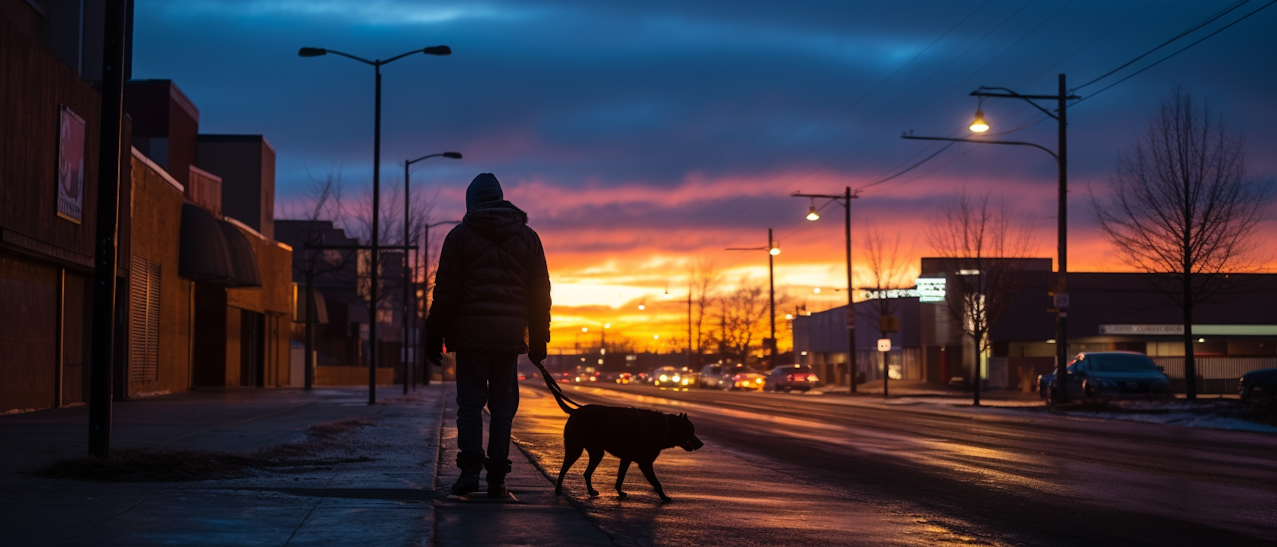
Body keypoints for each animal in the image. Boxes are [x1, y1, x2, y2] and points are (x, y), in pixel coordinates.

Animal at [546, 383, 704, 500]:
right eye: (691, 431)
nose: (701, 444)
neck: (666, 427)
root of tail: (574, 411)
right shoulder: (645, 462)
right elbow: (656, 482)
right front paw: (664, 497)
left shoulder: (626, 458)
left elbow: (620, 477)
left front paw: (620, 492)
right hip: (576, 448)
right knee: (564, 468)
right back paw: (558, 489)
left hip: (596, 452)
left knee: (586, 472)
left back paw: (591, 491)